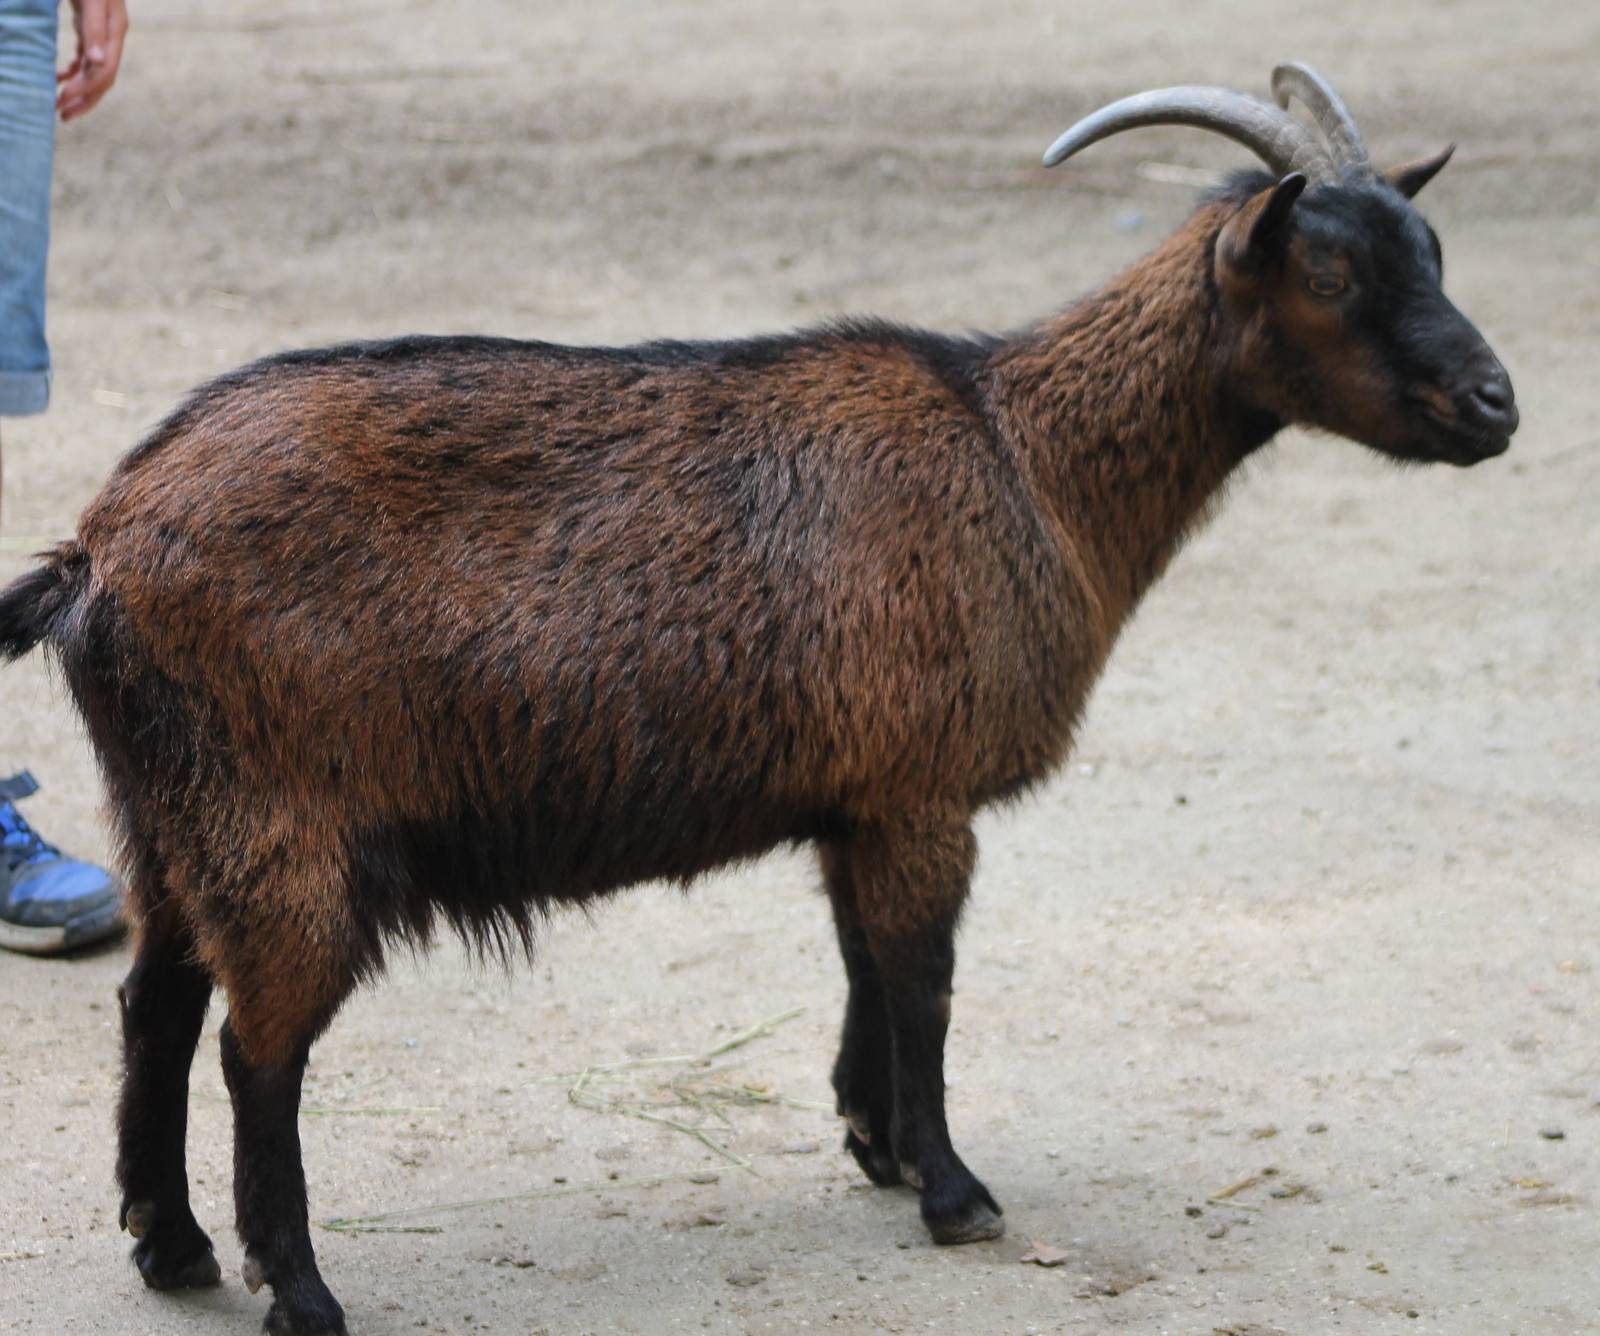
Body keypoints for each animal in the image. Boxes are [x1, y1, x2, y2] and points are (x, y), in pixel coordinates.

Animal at [0, 64, 1517, 1336]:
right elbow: (925, 981)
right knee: (259, 1050)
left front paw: (878, 1145)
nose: (1496, 404)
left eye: (1435, 250)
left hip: (176, 819)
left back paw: (173, 1249)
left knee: (155, 1006)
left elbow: (861, 965)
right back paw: (301, 1292)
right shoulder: (922, 790)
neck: (1027, 459)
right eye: (1327, 265)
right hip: (280, 828)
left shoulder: (860, 789)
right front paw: (956, 1191)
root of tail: (98, 552)